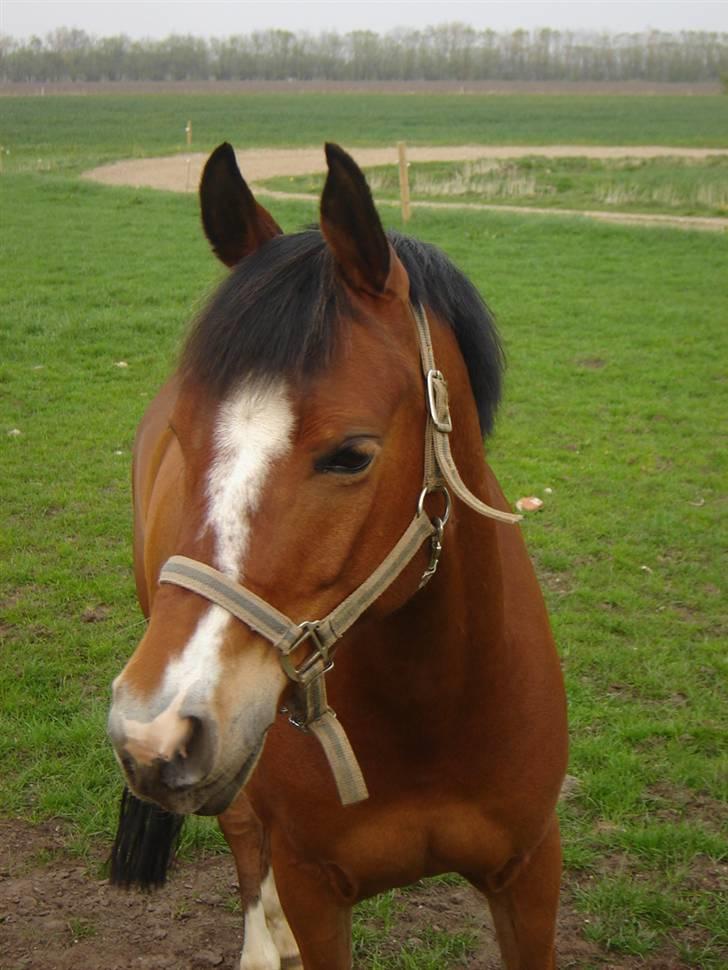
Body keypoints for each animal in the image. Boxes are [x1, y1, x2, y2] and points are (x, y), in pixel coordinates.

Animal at [108, 140, 568, 964]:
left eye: (351, 455)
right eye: (185, 437)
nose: (149, 732)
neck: (434, 704)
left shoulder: (529, 871)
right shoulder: (316, 888)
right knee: (242, 833)